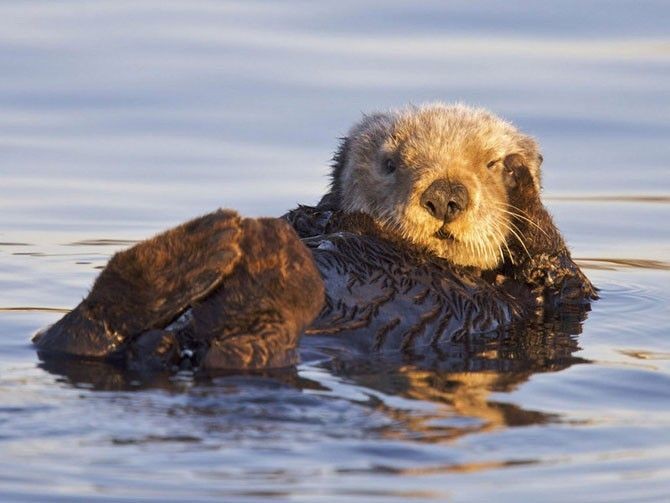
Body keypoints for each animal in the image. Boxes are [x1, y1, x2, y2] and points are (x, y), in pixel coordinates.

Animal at [31, 103, 600, 370]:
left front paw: (521, 179)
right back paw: (214, 247)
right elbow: (308, 218)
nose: (445, 195)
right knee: (74, 337)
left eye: (487, 163)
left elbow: (558, 266)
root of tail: (171, 344)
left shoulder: (556, 300)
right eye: (391, 163)